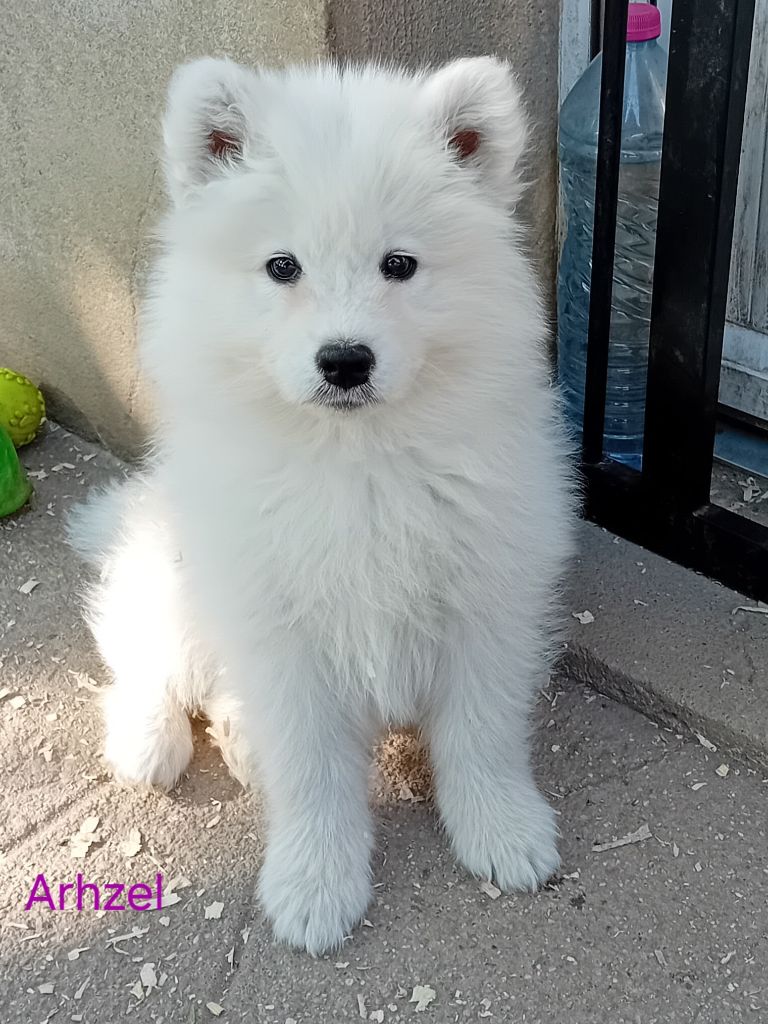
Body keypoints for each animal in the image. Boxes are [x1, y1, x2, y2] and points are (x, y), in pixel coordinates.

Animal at [69, 56, 574, 954]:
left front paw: (502, 829)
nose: (344, 360)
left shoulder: (487, 608)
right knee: (146, 662)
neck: (356, 460)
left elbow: (481, 736)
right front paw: (314, 883)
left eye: (400, 264)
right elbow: (310, 772)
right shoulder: (280, 635)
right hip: (175, 587)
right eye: (282, 267)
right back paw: (147, 741)